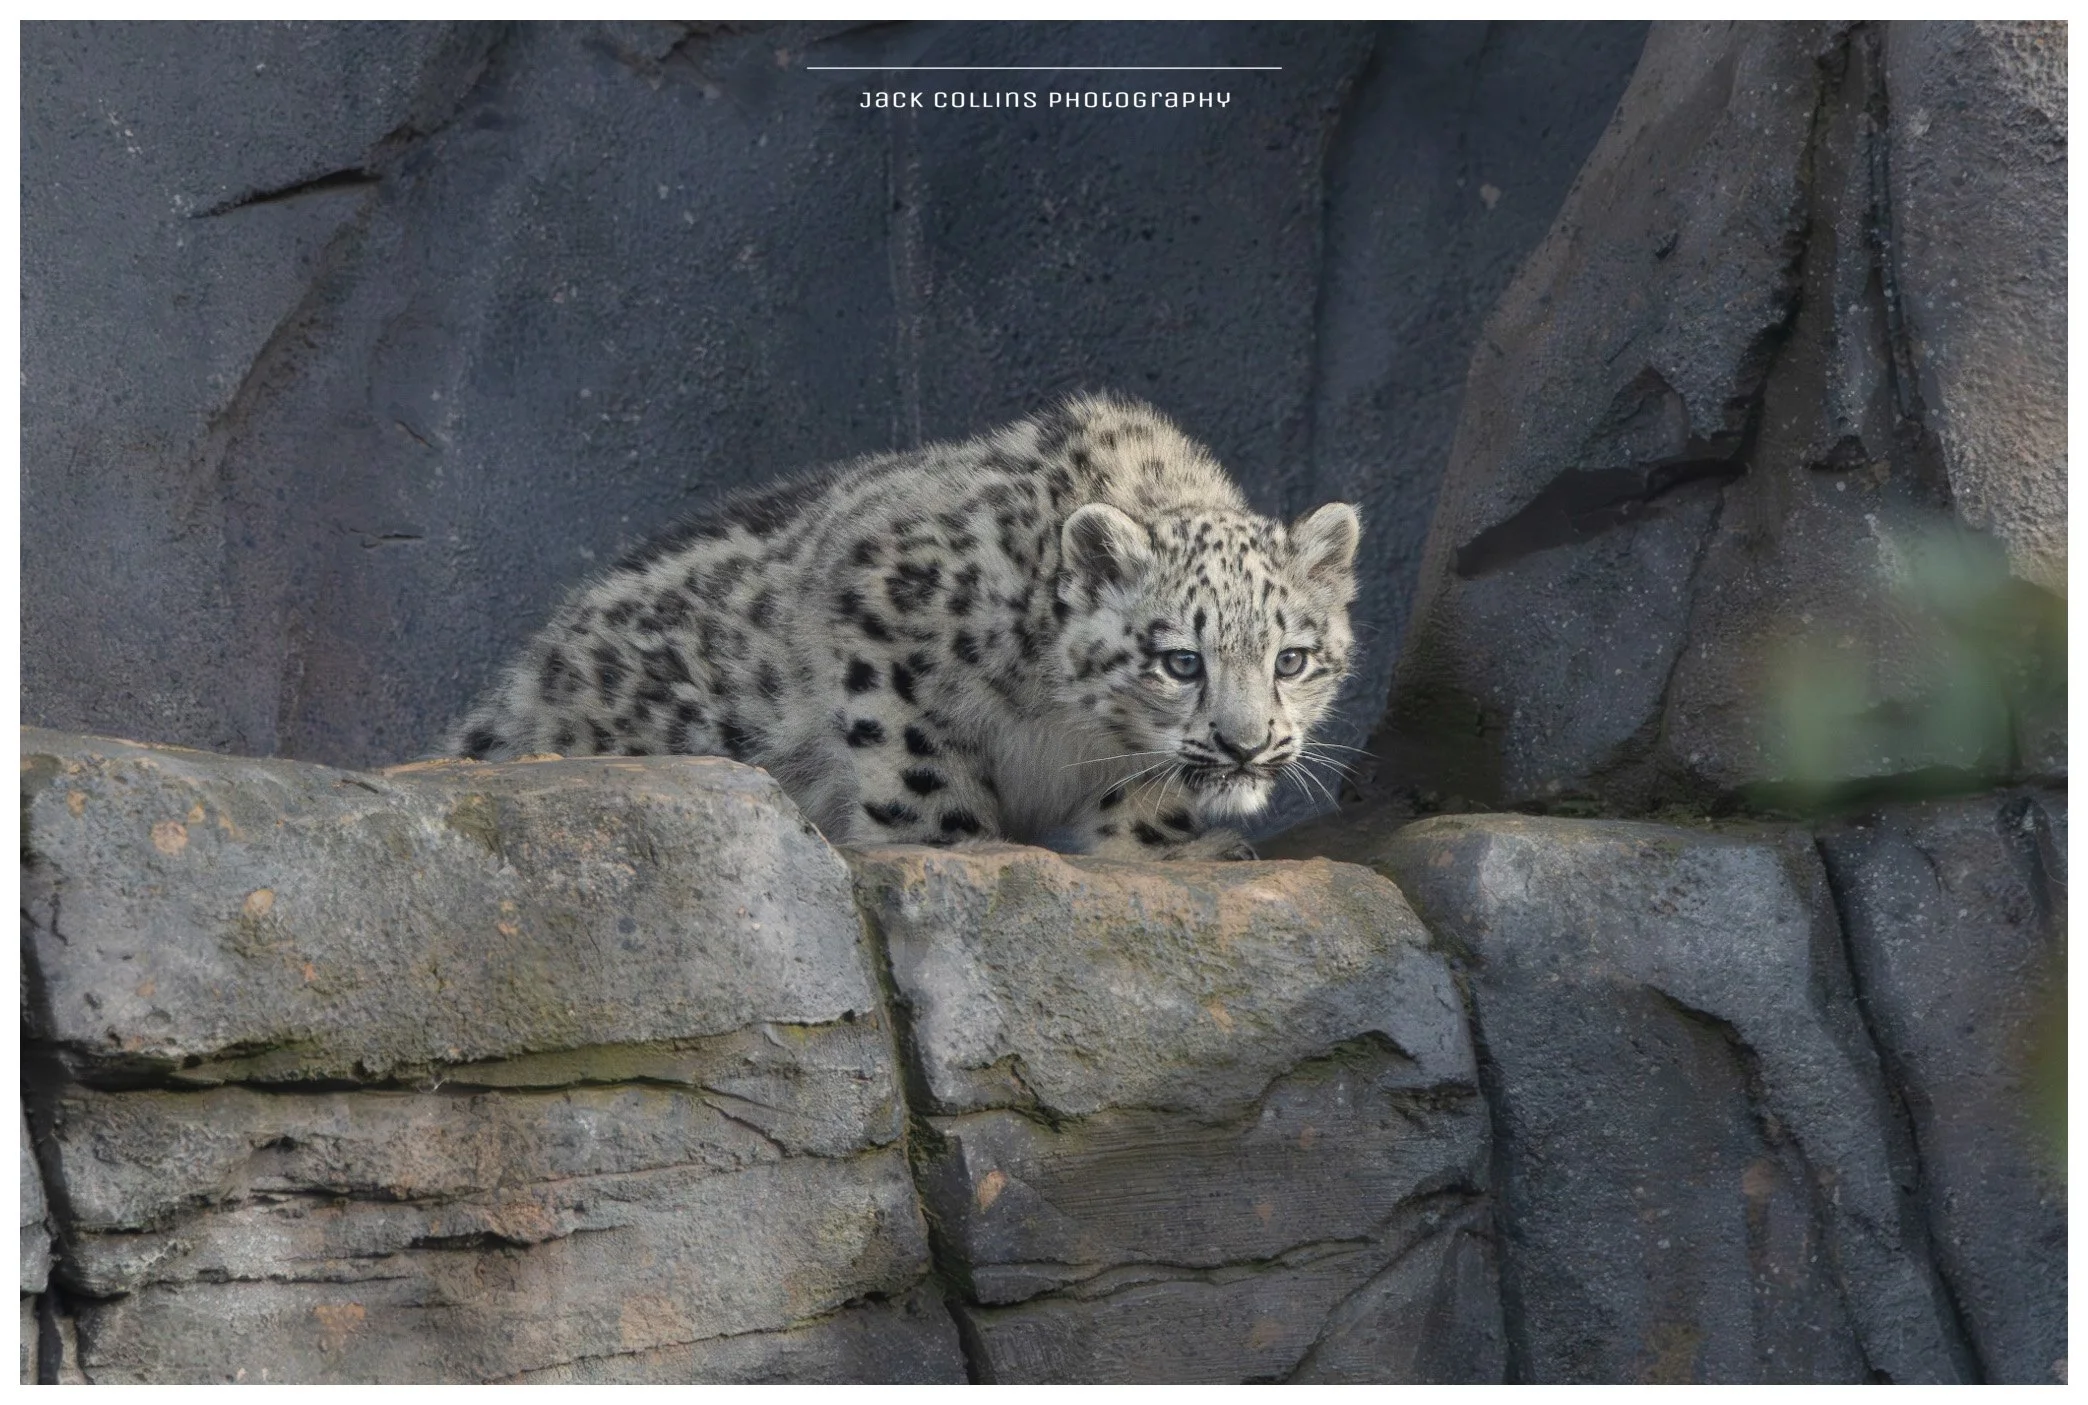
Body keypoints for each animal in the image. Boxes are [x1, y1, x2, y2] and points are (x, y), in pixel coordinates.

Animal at [446, 393, 1360, 861]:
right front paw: (952, 849)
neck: (1067, 728)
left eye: (1291, 658)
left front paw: (1168, 849)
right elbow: (920, 768)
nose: (1246, 745)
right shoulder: (880, 612)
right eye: (1180, 660)